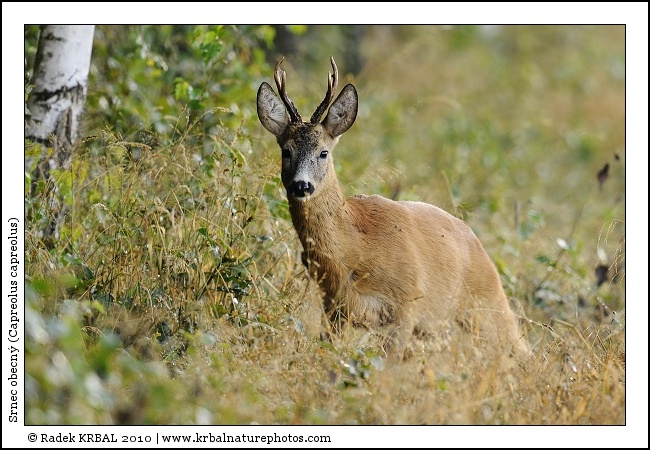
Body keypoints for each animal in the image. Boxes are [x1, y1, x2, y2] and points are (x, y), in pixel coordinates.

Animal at [257, 57, 530, 357]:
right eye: (286, 151)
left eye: (323, 152)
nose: (301, 186)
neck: (354, 249)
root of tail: (476, 241)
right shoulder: (334, 307)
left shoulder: (407, 302)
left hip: (487, 300)